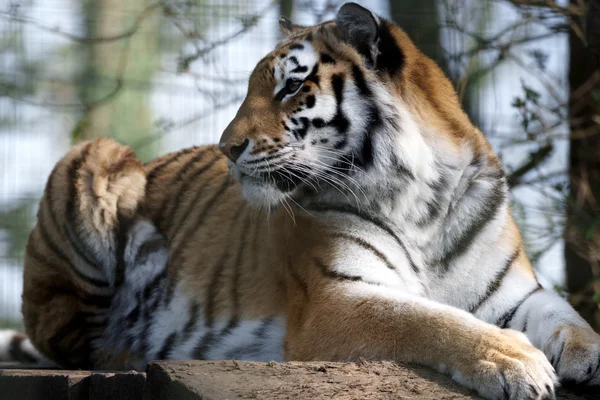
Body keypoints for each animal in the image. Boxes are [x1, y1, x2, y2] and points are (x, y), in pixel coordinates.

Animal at [2, 3, 596, 400]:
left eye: (289, 88)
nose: (226, 147)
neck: (422, 199)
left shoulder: (513, 292)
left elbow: (563, 313)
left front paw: (584, 353)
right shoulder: (338, 297)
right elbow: (429, 320)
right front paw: (516, 360)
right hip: (98, 159)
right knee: (81, 341)